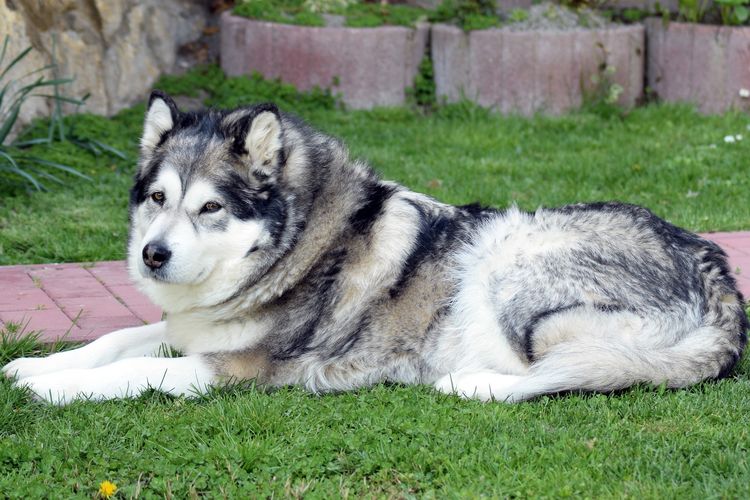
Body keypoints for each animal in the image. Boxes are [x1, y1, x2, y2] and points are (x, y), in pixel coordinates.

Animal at [2, 93, 748, 406]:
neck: (294, 249)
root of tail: (717, 272)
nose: (152, 256)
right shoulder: (191, 328)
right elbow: (117, 339)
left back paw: (468, 383)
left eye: (210, 207)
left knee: (575, 373)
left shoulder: (242, 367)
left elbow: (134, 371)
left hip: (509, 267)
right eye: (157, 198)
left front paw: (54, 388)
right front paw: (35, 365)